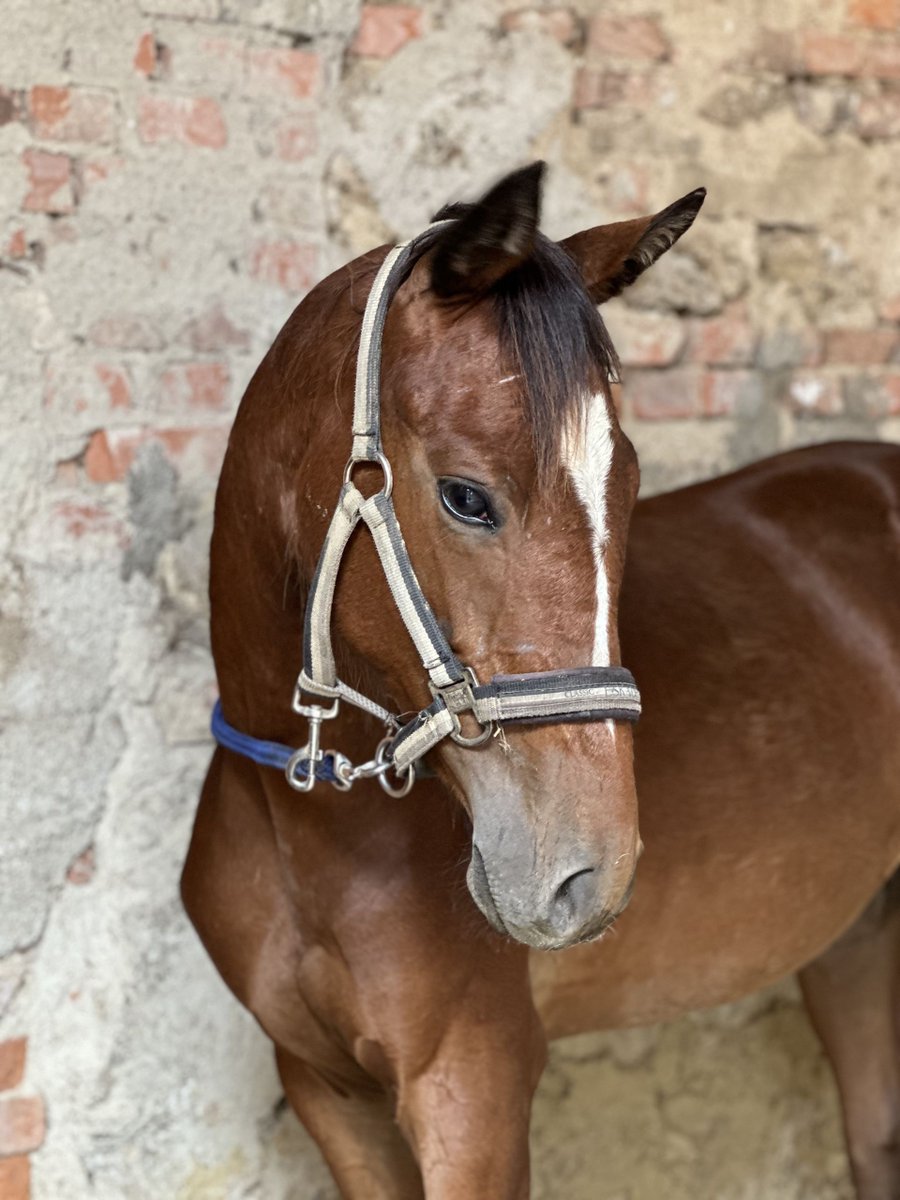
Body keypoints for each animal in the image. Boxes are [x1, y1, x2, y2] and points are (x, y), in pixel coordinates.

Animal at [181, 162, 900, 1199]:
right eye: (465, 497)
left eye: (629, 488)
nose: (589, 876)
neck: (307, 826)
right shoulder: (328, 1091)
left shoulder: (471, 1093)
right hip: (857, 940)